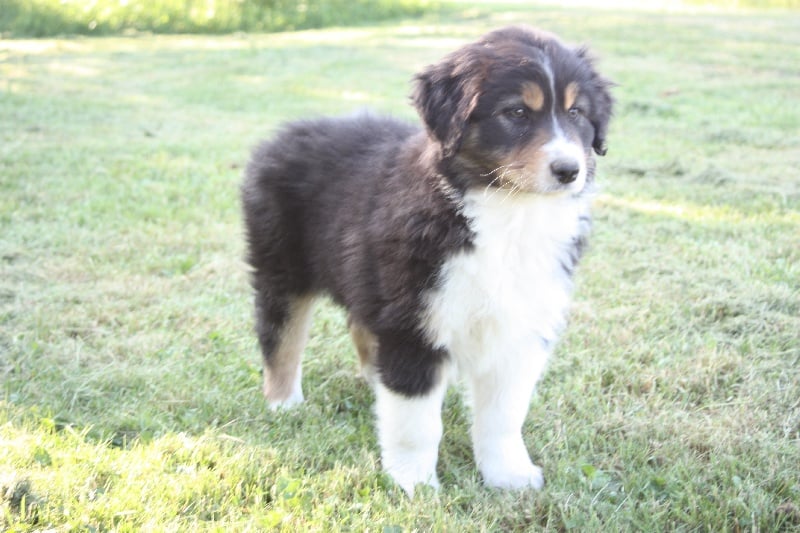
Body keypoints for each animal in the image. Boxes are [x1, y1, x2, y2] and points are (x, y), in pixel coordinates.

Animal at [241, 26, 616, 494]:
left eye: (577, 112)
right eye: (515, 112)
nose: (569, 171)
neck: (506, 211)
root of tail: (286, 132)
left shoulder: (519, 326)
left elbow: (504, 416)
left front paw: (509, 475)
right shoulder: (414, 325)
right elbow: (416, 422)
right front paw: (414, 484)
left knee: (361, 324)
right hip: (282, 266)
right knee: (279, 337)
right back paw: (284, 403)